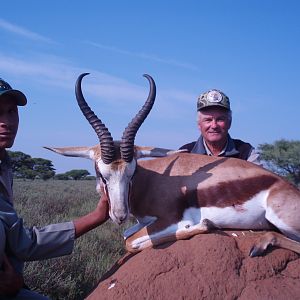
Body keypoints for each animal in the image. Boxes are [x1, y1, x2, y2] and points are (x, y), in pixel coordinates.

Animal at [45, 72, 300, 255]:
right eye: (101, 174)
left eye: (132, 173)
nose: (119, 215)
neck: (152, 181)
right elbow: (127, 234)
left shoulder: (169, 219)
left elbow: (130, 242)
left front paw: (203, 225)